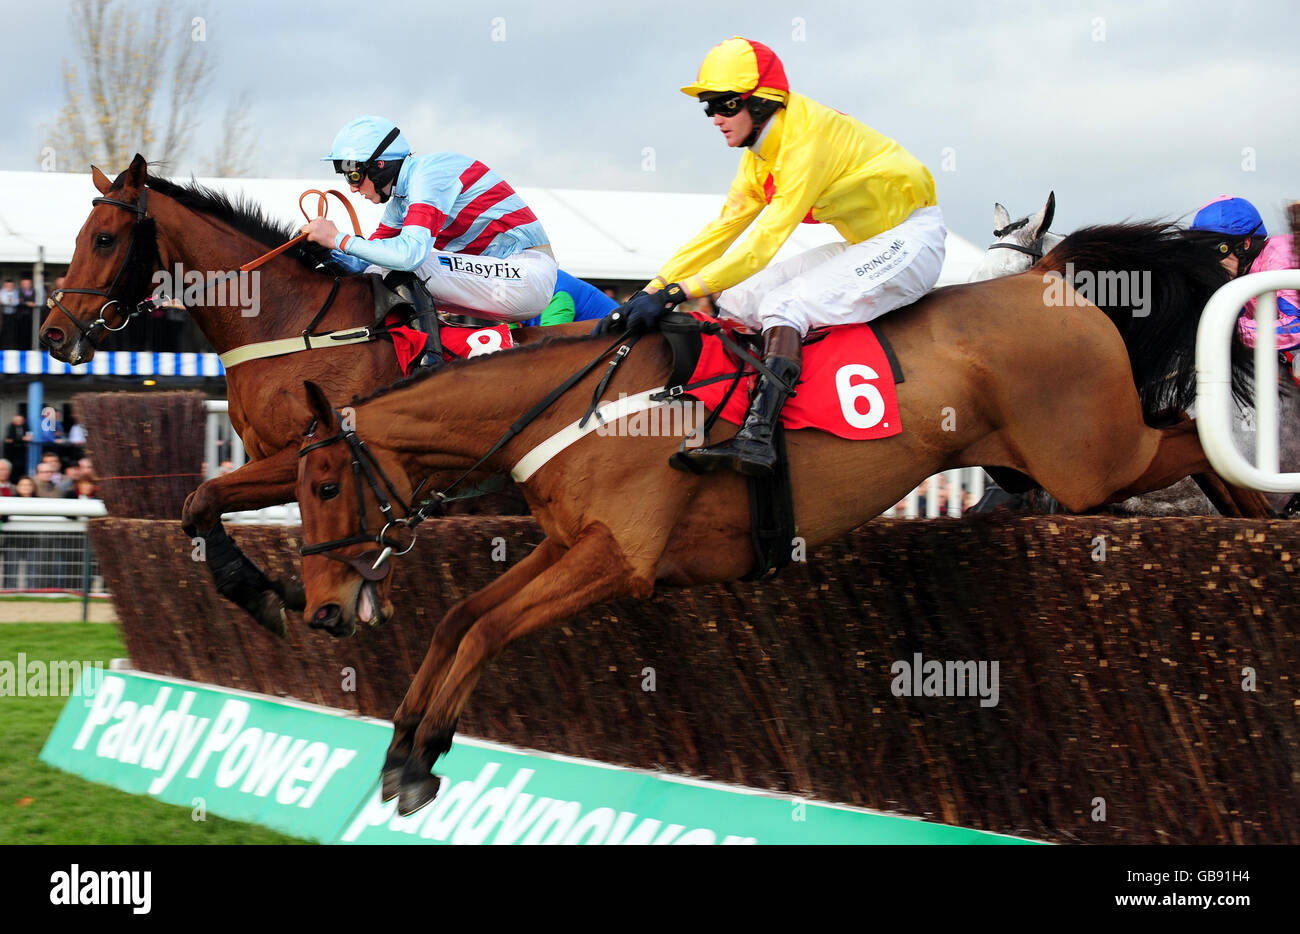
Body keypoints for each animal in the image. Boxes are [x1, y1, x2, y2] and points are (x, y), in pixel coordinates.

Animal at [41, 153, 569, 637]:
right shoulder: (278, 463)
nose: (53, 334)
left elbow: (203, 497)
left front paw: (267, 596)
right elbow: (199, 508)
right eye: (79, 238)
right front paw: (283, 591)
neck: (291, 327)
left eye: (104, 239)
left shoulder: (310, 451)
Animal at [292, 223, 1268, 816]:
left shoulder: (619, 560)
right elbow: (460, 617)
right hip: (1060, 462)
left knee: (1192, 435)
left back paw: (1259, 513)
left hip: (1090, 460)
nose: (322, 612)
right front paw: (403, 744)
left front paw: (420, 757)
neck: (571, 402)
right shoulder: (573, 544)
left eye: (325, 488)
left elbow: (489, 629)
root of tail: (1042, 275)